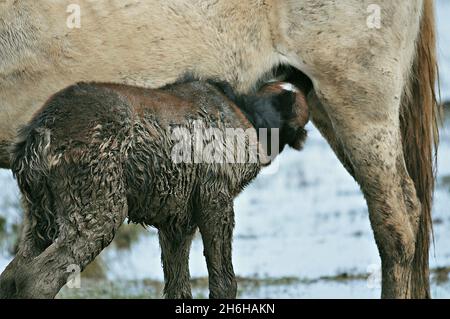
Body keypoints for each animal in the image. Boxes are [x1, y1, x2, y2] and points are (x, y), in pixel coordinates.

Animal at [0, 0, 438, 300]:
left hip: (358, 99)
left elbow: (217, 279)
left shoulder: (205, 203)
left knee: (396, 221)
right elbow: (187, 282)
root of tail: (35, 137)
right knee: (22, 276)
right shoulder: (184, 212)